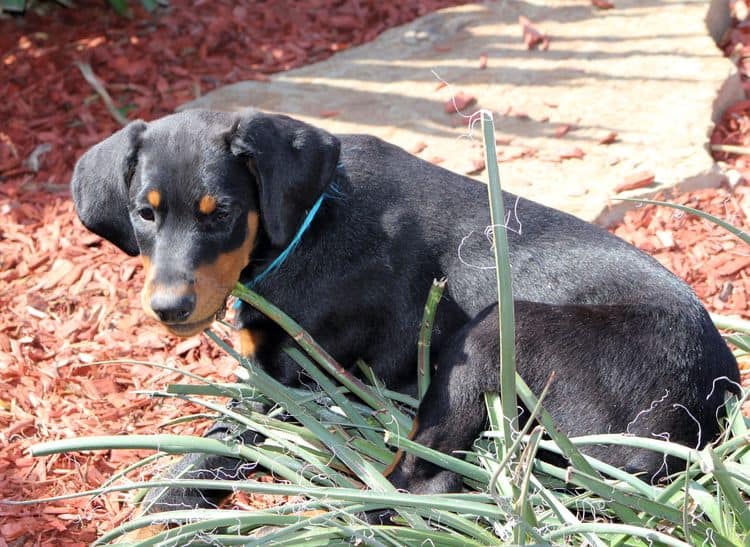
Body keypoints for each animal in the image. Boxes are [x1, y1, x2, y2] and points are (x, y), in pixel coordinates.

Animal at [70, 110, 740, 512]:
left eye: (223, 213)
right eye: (144, 212)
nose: (169, 307)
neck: (314, 218)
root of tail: (695, 422)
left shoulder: (291, 383)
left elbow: (217, 445)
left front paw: (171, 501)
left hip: (496, 331)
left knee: (424, 479)